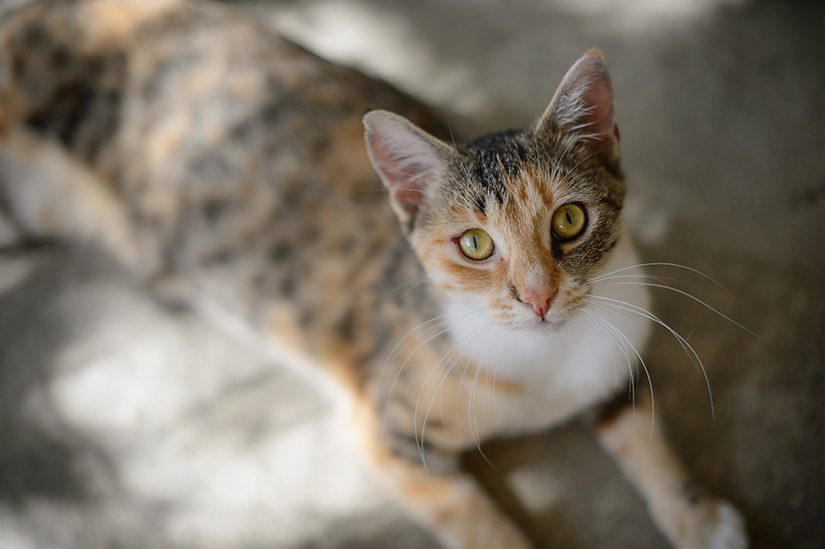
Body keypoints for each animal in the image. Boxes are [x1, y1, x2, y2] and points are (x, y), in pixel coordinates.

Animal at [0, 1, 748, 548]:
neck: (543, 366)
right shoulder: (385, 427)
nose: (538, 297)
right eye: (475, 243)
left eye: (569, 221)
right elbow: (472, 517)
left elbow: (648, 435)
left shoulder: (614, 358)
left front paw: (698, 514)